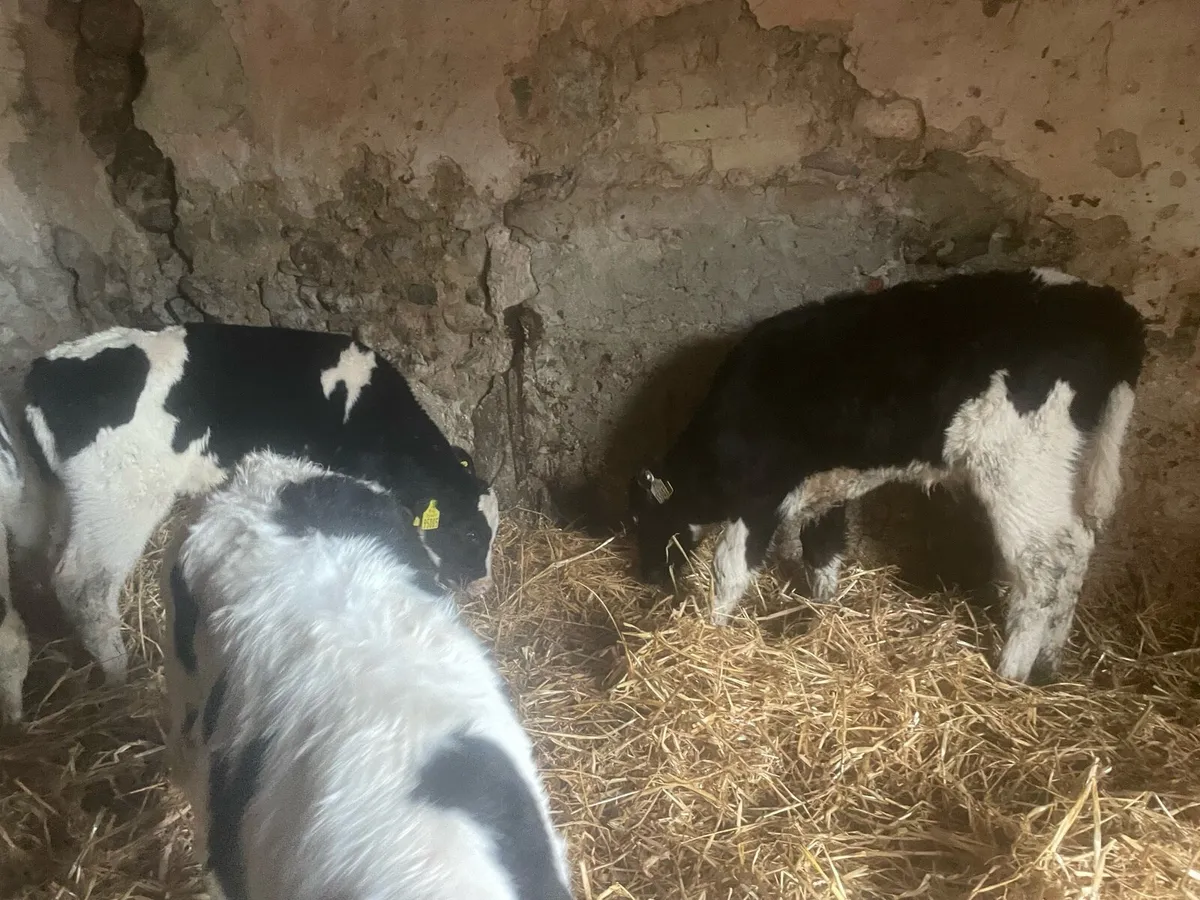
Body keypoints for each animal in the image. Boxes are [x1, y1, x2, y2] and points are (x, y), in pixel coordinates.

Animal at [22, 323, 500, 685]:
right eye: (470, 532)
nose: (483, 583)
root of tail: (46, 369)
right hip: (121, 496)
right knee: (84, 582)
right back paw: (121, 674)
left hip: (70, 497)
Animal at [629, 268, 1146, 685]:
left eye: (640, 524)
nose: (646, 577)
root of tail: (1113, 310)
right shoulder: (829, 489)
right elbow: (823, 551)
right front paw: (820, 620)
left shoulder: (760, 495)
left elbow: (730, 567)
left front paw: (712, 631)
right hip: (1070, 465)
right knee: (1078, 548)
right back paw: (1049, 664)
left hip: (1020, 467)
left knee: (1044, 564)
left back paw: (1010, 674)